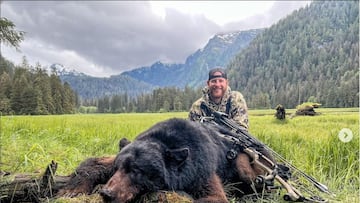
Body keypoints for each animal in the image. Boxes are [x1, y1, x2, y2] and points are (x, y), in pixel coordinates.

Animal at [59, 118, 274, 202]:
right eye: (118, 168)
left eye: (137, 171)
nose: (106, 193)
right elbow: (94, 162)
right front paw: (71, 190)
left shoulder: (201, 169)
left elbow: (212, 196)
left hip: (245, 162)